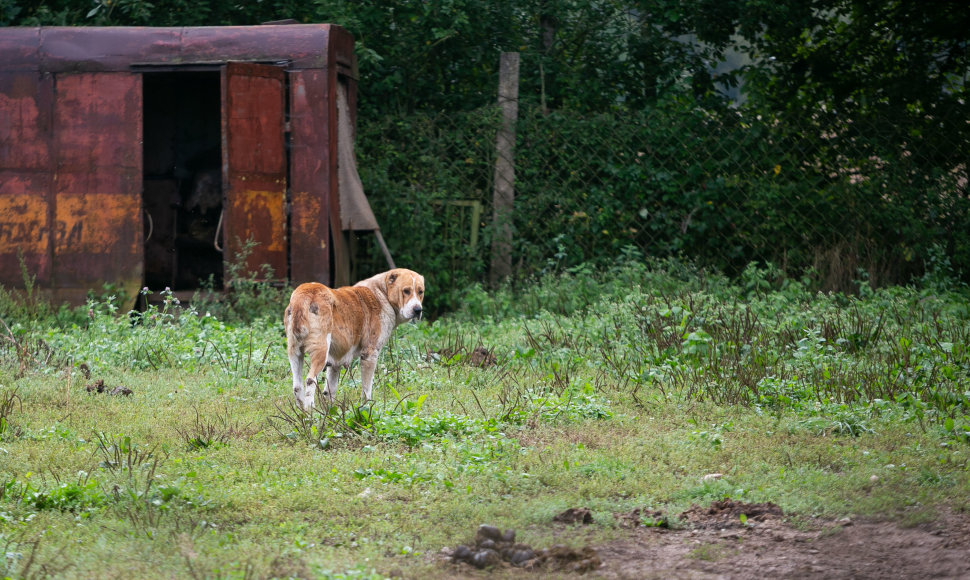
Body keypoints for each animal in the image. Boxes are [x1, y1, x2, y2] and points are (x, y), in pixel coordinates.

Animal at [286, 268, 426, 410]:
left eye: (420, 292)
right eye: (406, 291)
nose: (418, 310)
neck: (382, 294)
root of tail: (305, 293)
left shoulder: (335, 363)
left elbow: (330, 391)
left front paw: (331, 412)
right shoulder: (370, 355)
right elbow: (367, 388)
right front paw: (367, 406)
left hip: (295, 354)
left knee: (297, 387)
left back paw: (301, 413)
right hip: (320, 353)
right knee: (310, 380)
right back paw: (310, 411)